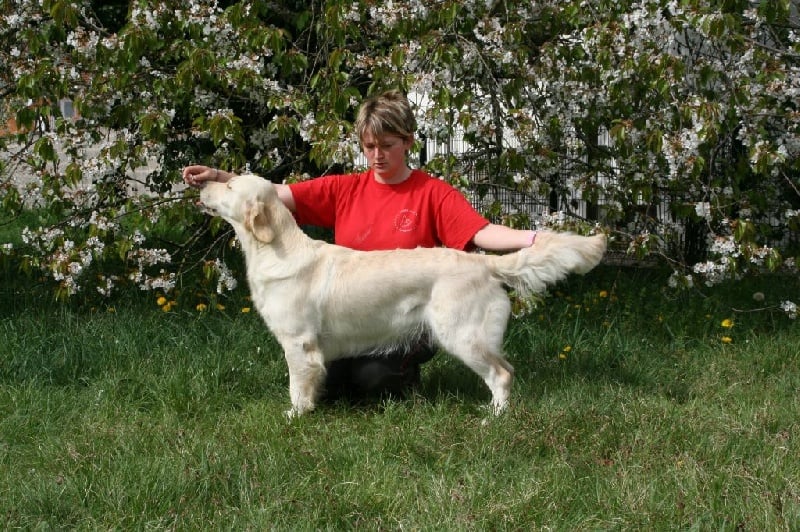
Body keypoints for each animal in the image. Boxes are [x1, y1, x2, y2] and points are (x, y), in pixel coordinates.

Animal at [198, 174, 606, 417]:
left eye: (230, 188)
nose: (199, 185)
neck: (274, 249)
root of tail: (483, 263)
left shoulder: (299, 343)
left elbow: (297, 385)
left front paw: (296, 415)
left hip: (462, 335)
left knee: (502, 374)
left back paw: (495, 418)